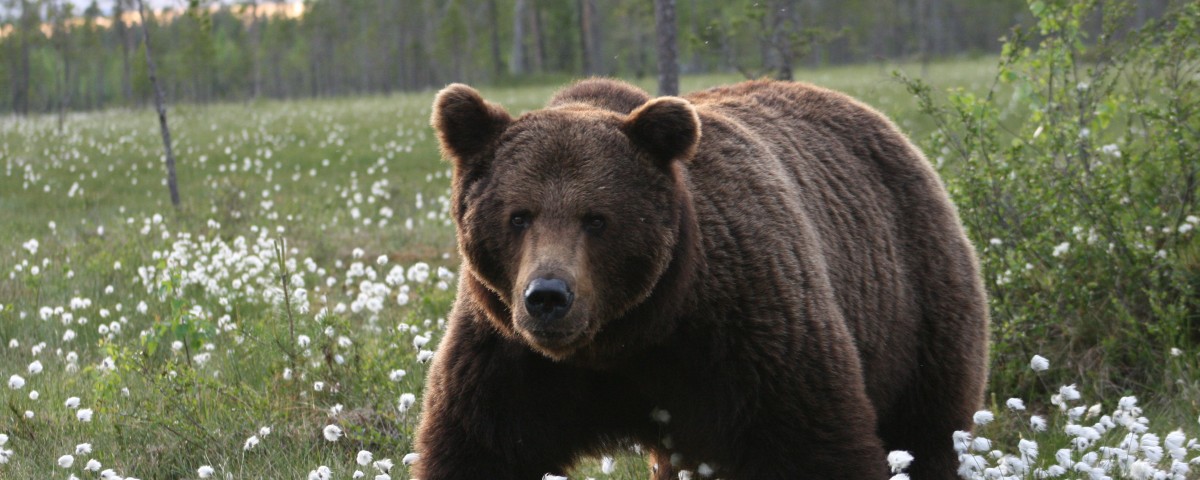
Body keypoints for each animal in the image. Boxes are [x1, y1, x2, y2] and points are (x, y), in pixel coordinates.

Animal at [417, 79, 988, 480]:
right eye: (519, 215)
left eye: (596, 219)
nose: (548, 298)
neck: (623, 340)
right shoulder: (509, 358)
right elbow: (479, 449)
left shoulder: (744, 334)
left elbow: (811, 445)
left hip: (915, 310)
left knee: (926, 433)